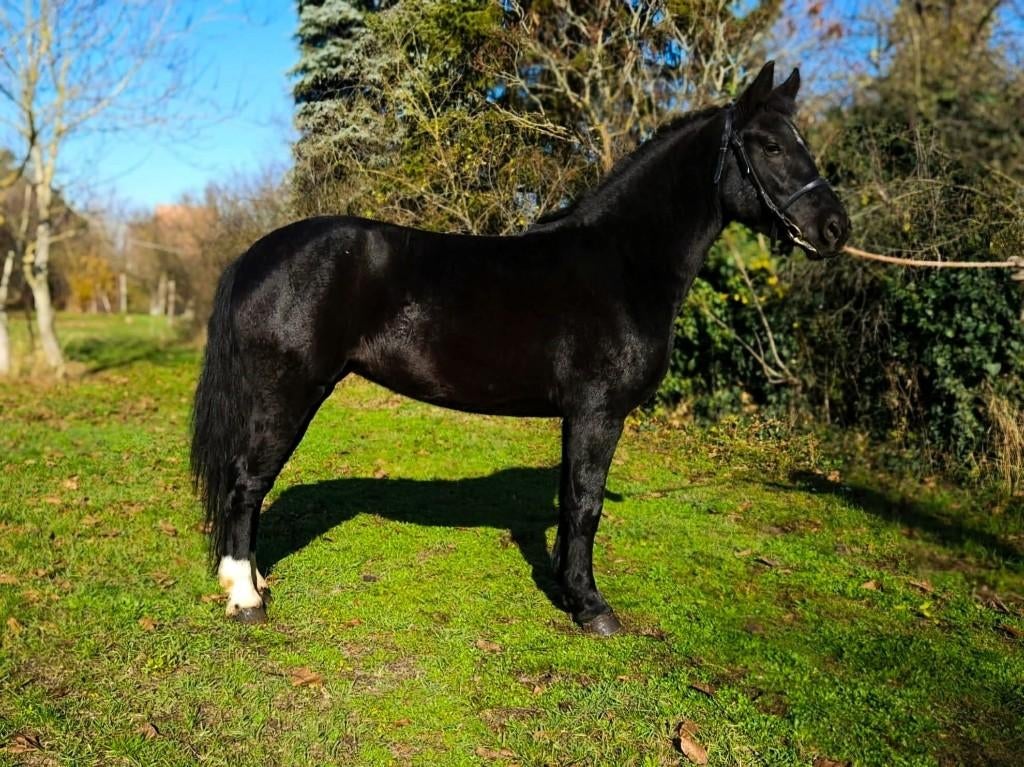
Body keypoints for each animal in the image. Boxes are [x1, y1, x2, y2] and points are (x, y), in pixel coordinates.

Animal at [191, 61, 850, 636]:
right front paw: (591, 607)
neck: (623, 262)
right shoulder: (598, 413)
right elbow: (585, 506)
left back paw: (250, 580)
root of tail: (255, 255)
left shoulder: (577, 417)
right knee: (247, 484)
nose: (835, 230)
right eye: (769, 146)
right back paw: (246, 598)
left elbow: (569, 502)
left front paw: (567, 588)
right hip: (288, 396)